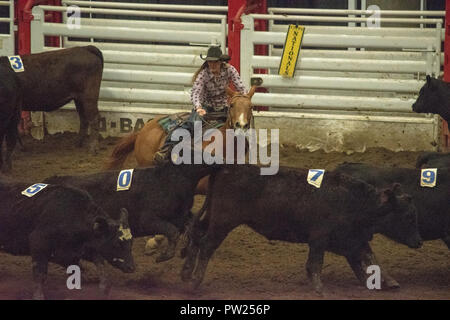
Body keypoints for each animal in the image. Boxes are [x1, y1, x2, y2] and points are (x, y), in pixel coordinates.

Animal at [0, 176, 136, 298]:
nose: (131, 267)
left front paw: (104, 287)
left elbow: (99, 261)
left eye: (131, 242)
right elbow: (40, 274)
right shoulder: (38, 242)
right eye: (116, 243)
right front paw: (38, 295)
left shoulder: (80, 249)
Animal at [182, 166, 422, 294]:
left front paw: (384, 281)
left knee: (196, 236)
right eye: (408, 217)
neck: (355, 201)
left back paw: (185, 273)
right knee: (206, 245)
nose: (419, 241)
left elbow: (368, 257)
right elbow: (315, 264)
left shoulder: (351, 239)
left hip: (212, 218)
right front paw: (319, 289)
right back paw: (193, 282)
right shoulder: (320, 238)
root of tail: (225, 169)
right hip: (223, 222)